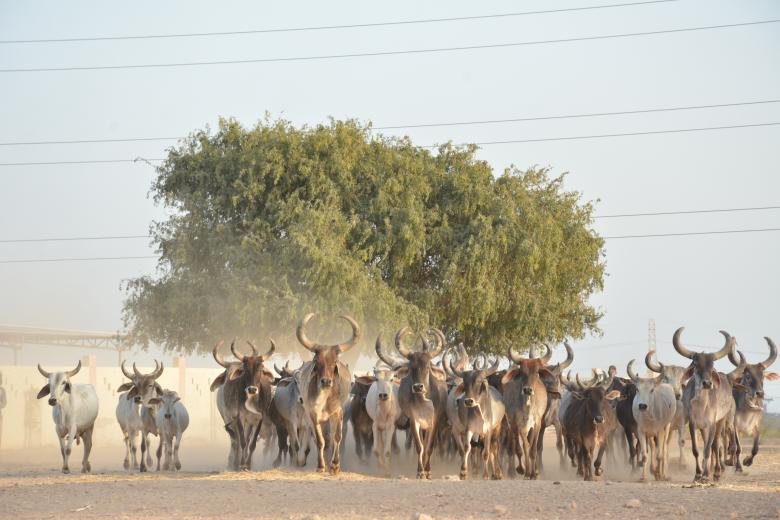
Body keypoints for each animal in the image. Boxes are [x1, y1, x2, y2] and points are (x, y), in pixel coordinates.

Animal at [212, 339, 276, 471]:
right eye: (245, 370)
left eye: (260, 369)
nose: (252, 389)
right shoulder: (238, 417)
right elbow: (241, 441)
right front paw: (240, 463)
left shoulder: (258, 419)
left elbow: (251, 443)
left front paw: (248, 464)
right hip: (230, 419)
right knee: (235, 441)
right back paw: (234, 462)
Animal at [296, 313, 360, 474]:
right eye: (317, 361)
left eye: (334, 361)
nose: (326, 381)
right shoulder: (313, 416)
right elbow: (320, 441)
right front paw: (320, 465)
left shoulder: (338, 413)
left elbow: (337, 437)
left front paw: (335, 465)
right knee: (324, 439)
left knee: (331, 439)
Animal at [380, 326, 447, 479]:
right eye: (412, 368)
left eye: (427, 367)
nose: (418, 387)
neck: (423, 403)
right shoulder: (413, 420)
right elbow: (419, 446)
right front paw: (420, 471)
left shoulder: (434, 421)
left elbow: (429, 447)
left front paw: (428, 471)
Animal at [673, 327, 736, 482]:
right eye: (696, 364)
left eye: (711, 365)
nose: (707, 383)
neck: (701, 405)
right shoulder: (693, 424)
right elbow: (696, 450)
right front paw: (698, 474)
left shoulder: (712, 423)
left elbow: (708, 449)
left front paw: (706, 475)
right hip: (703, 428)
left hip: (721, 421)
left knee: (716, 445)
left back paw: (717, 472)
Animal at [726, 337, 778, 471]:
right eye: (748, 376)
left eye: (763, 376)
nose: (760, 393)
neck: (747, 410)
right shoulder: (735, 426)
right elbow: (737, 448)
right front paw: (738, 467)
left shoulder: (757, 425)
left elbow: (755, 448)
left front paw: (747, 461)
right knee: (729, 445)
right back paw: (730, 461)